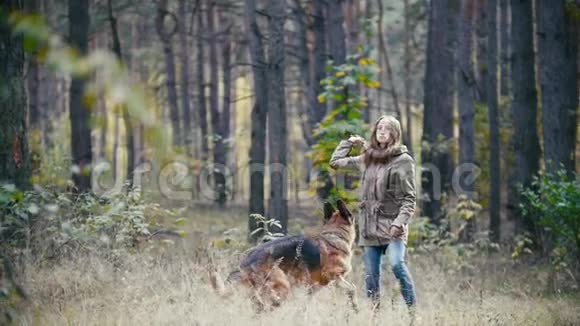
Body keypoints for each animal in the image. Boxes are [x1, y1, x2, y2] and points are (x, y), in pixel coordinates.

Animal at [211, 199, 358, 310]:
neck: (334, 236)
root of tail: (245, 263)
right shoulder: (334, 276)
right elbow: (353, 288)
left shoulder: (314, 288)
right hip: (283, 286)